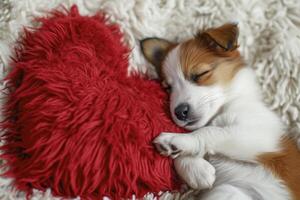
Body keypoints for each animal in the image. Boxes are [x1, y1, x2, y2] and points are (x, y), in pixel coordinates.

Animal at [140, 23, 300, 200]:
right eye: (168, 88)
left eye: (200, 74)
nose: (179, 112)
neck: (225, 107)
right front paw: (198, 171)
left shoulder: (262, 136)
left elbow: (211, 132)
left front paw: (177, 140)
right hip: (228, 191)